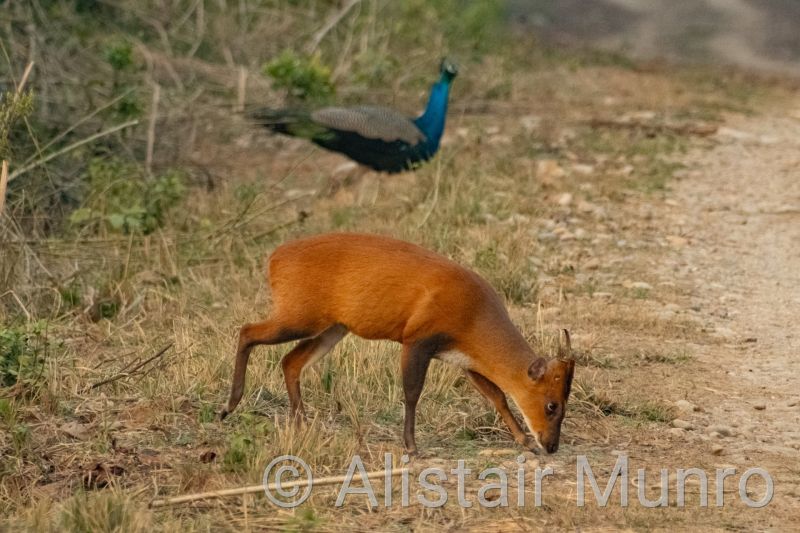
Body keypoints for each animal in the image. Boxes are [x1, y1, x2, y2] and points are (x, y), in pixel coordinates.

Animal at [221, 233, 576, 455]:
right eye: (552, 405)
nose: (551, 445)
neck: (474, 315)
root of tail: (274, 259)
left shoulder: (464, 359)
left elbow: (497, 396)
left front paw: (524, 442)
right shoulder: (417, 339)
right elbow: (412, 392)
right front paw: (412, 447)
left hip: (333, 328)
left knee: (290, 361)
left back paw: (301, 425)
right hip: (298, 314)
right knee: (247, 331)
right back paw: (229, 406)